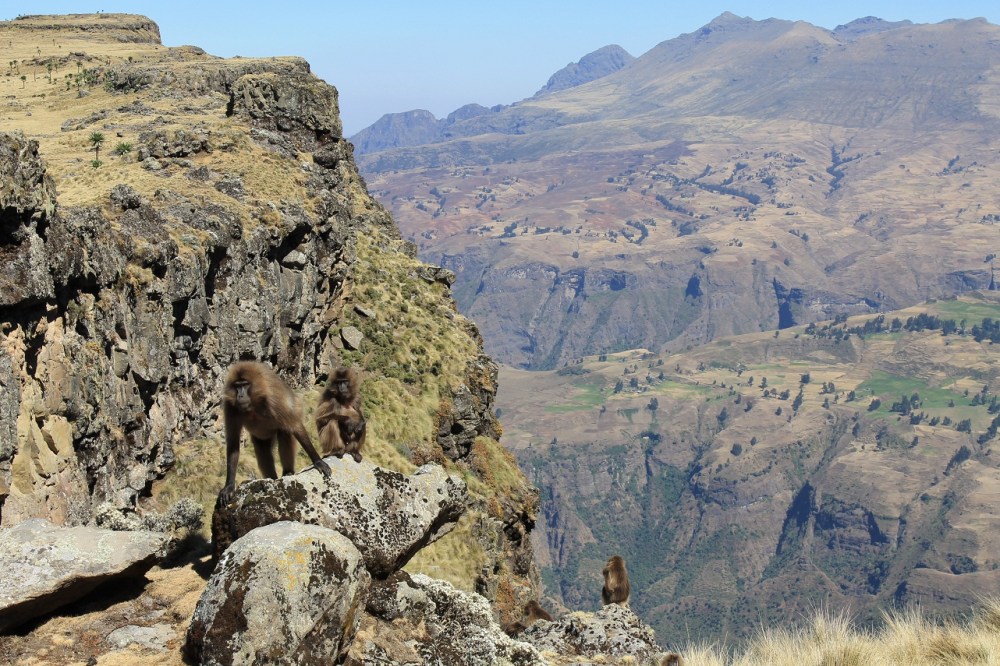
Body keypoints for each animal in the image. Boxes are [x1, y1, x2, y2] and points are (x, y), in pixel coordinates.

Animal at [221, 361, 331, 502]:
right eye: (237, 386)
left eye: (245, 384)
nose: (240, 395)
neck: (254, 404)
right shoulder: (231, 407)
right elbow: (233, 444)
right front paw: (229, 487)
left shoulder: (274, 399)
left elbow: (295, 427)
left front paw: (318, 461)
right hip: (263, 437)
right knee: (262, 448)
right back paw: (272, 478)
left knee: (285, 431)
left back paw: (288, 472)